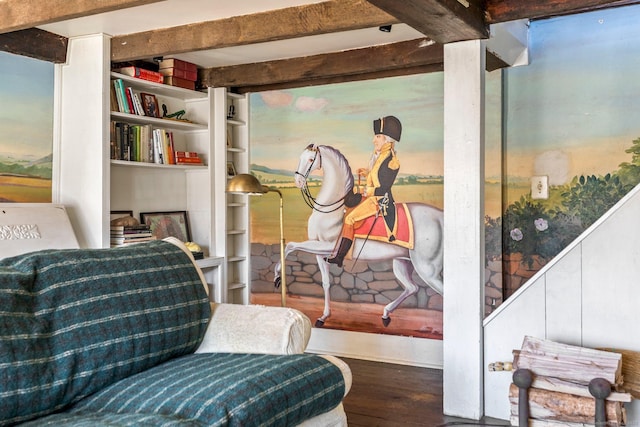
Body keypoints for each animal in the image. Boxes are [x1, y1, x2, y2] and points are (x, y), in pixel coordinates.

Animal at [272, 144, 442, 328]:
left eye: (311, 159)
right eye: (300, 158)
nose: (298, 181)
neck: (331, 208)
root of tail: (440, 216)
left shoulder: (327, 246)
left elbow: (290, 245)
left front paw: (277, 276)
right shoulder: (320, 251)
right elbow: (325, 282)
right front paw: (324, 316)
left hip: (427, 269)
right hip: (402, 263)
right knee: (412, 288)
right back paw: (385, 314)